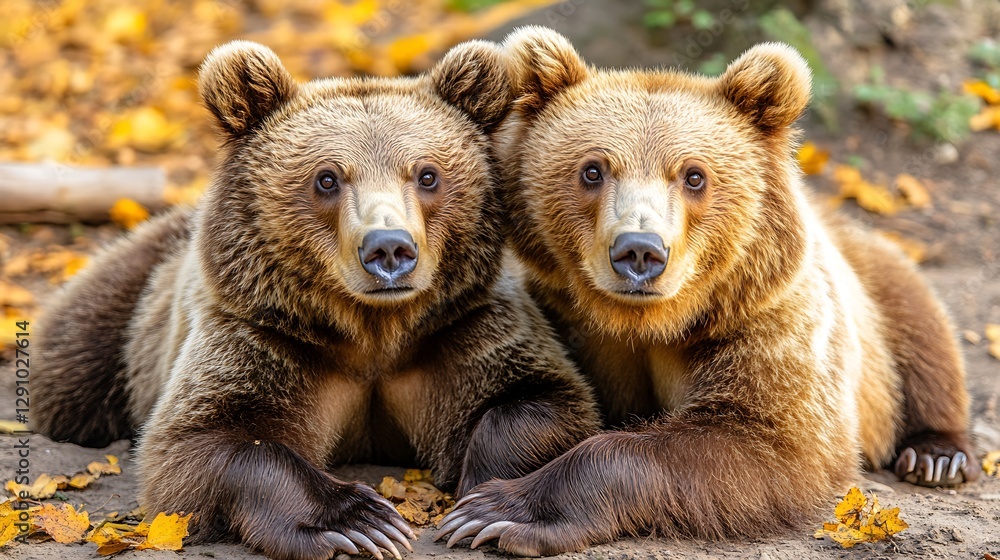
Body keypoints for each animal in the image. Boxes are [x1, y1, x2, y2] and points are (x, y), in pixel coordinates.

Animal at [32, 39, 601, 560]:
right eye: (327, 178)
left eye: (427, 174)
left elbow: (542, 400)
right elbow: (201, 442)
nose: (389, 248)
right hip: (126, 304)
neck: (375, 330)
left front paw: (481, 500)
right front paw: (359, 521)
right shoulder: (264, 335)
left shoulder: (460, 327)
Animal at [434, 27, 977, 556]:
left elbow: (769, 443)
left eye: (694, 175)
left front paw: (502, 512)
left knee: (922, 328)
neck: (650, 323)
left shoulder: (765, 321)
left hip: (873, 287)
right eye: (592, 169)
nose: (639, 251)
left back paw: (938, 456)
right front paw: (478, 493)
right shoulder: (557, 314)